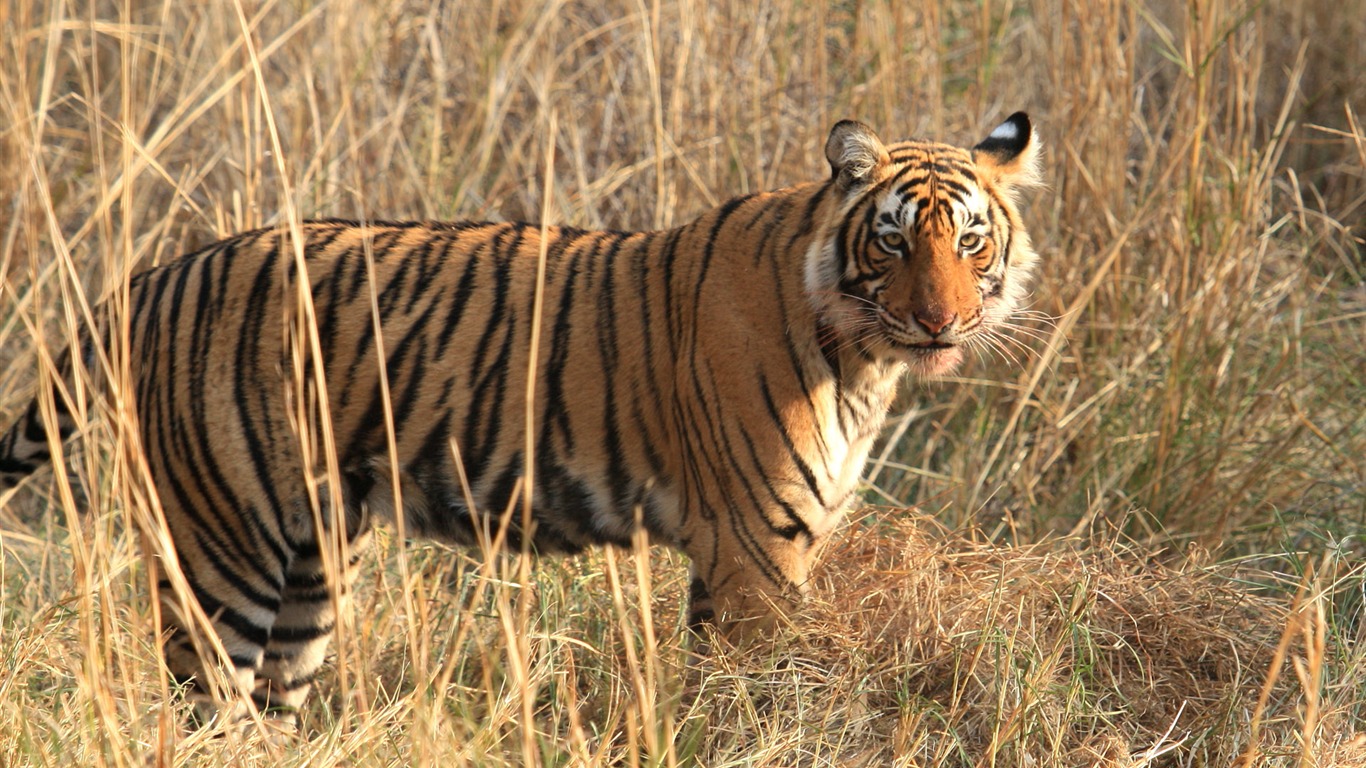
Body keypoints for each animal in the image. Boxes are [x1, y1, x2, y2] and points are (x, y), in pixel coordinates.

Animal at [0, 113, 1038, 721]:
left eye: (970, 240)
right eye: (895, 240)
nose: (941, 321)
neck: (860, 358)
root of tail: (156, 276)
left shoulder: (738, 557)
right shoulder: (757, 551)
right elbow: (763, 693)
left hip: (309, 561)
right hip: (223, 548)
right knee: (203, 703)